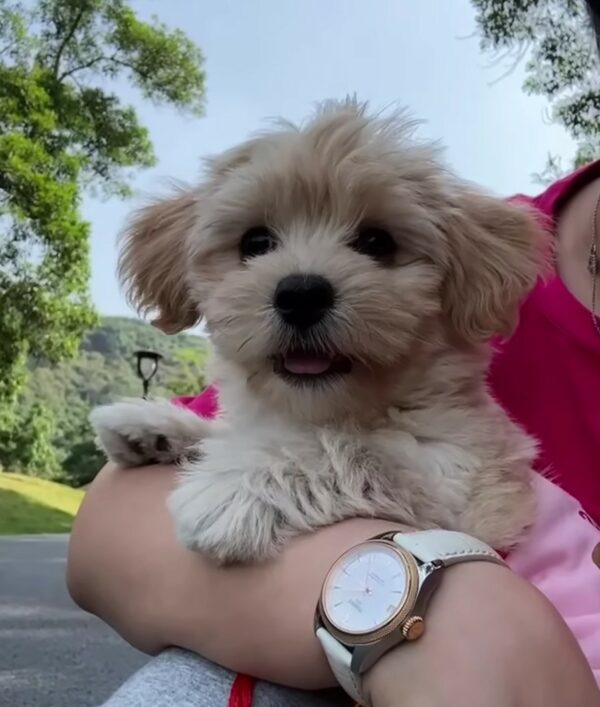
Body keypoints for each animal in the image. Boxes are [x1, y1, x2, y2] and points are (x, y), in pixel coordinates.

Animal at [91, 98, 548, 564]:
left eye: (378, 242)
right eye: (255, 242)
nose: (302, 295)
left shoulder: (463, 480)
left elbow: (351, 449)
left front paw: (233, 487)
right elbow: (247, 433)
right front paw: (155, 427)